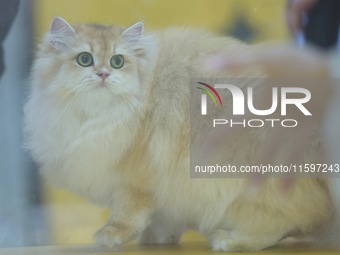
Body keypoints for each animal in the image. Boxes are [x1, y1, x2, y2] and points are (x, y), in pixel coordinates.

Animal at [24, 16, 338, 252]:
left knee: (279, 222)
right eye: (84, 59)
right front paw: (159, 238)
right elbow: (163, 217)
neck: (98, 117)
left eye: (117, 62)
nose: (103, 74)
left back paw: (231, 240)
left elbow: (128, 212)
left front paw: (112, 235)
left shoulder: (137, 181)